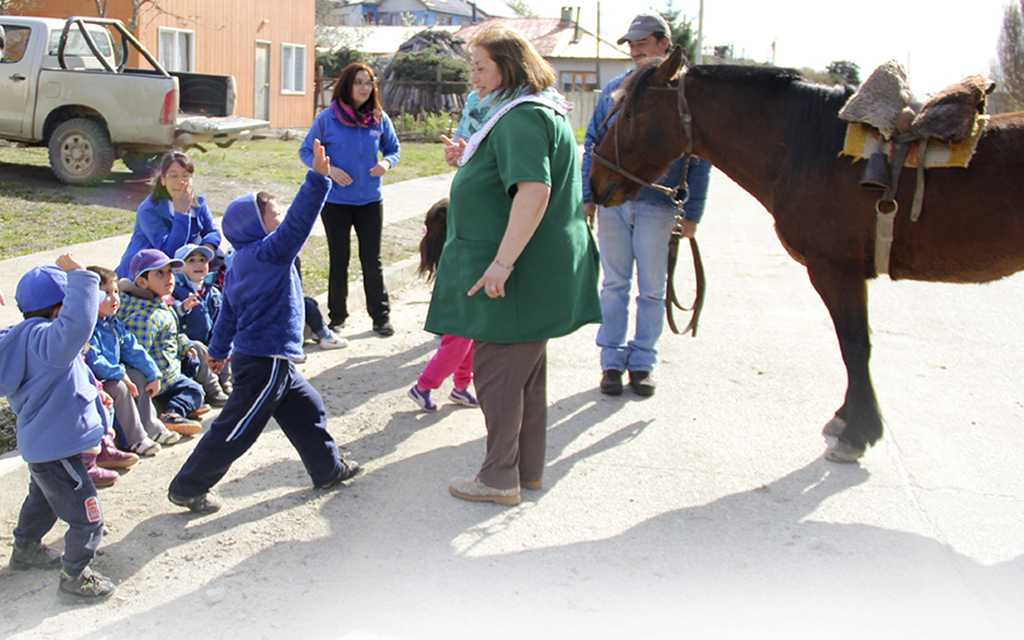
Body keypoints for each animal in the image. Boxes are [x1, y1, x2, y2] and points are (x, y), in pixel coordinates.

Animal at [589, 47, 1024, 460]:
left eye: (632, 113)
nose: (596, 180)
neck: (815, 156)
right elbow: (852, 347)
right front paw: (848, 419)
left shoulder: (836, 271)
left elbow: (854, 346)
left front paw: (857, 433)